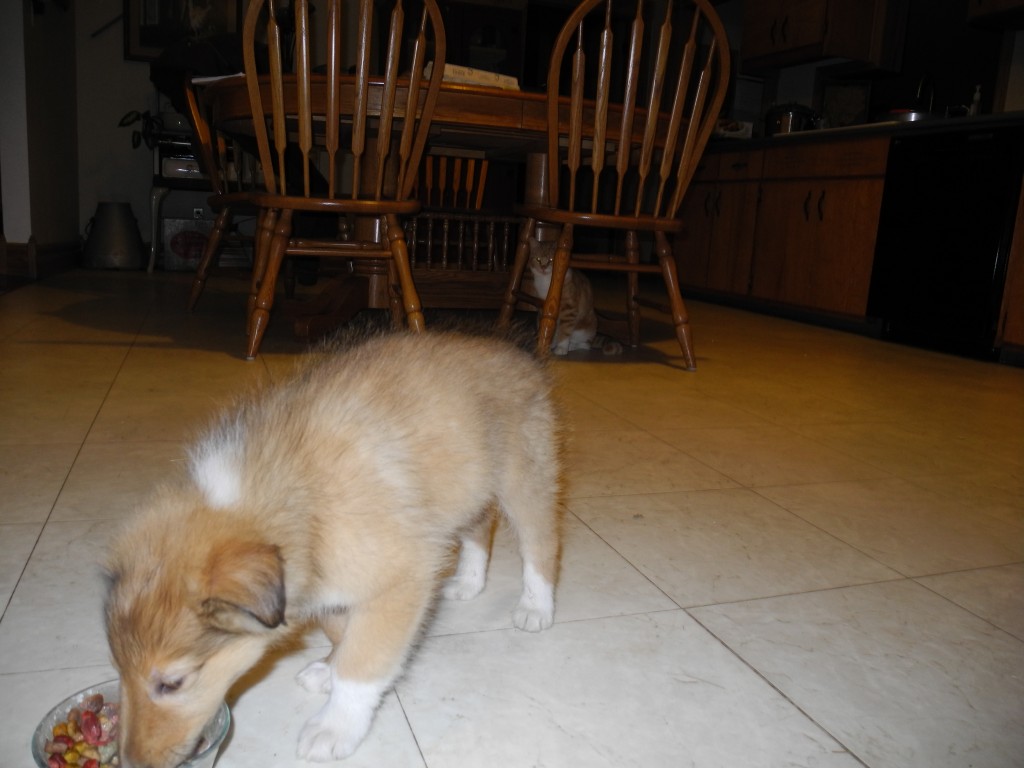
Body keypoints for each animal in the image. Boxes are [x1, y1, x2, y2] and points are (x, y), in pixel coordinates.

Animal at [105, 333, 561, 765]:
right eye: (118, 669)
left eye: (172, 683)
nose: (130, 763)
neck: (296, 499)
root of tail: (517, 352)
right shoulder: (328, 583)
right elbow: (341, 630)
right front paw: (328, 669)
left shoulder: (400, 578)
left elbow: (363, 662)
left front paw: (335, 726)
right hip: (464, 486)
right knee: (481, 527)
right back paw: (468, 582)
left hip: (522, 478)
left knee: (541, 543)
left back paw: (536, 607)